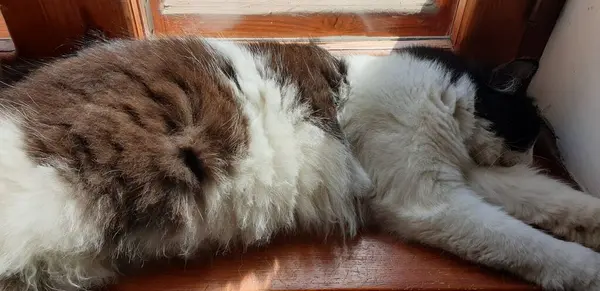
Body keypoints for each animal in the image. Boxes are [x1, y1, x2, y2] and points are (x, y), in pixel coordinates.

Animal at [338, 46, 600, 290]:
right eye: (526, 139)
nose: (527, 163)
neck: (445, 97)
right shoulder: (432, 198)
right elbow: (524, 241)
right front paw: (592, 271)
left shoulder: (471, 174)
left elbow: (554, 198)